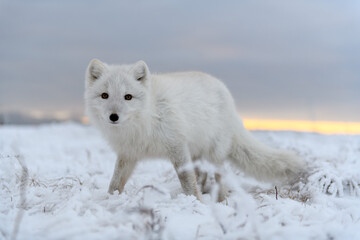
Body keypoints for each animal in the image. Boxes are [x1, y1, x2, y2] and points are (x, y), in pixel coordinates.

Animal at [85, 59, 304, 202]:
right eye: (104, 95)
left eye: (128, 97)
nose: (113, 117)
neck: (145, 120)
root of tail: (226, 93)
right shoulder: (129, 153)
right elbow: (116, 181)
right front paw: (109, 199)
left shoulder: (177, 145)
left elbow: (186, 179)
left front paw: (195, 201)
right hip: (196, 151)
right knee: (201, 173)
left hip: (214, 152)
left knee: (218, 176)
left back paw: (221, 200)